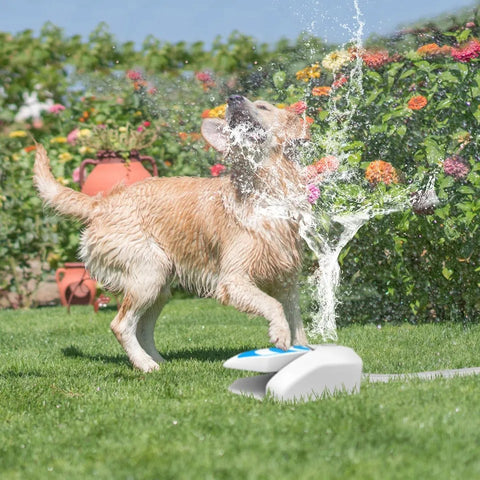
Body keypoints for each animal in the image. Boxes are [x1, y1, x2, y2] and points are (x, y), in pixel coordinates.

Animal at [34, 94, 312, 372]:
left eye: (263, 106)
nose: (233, 98)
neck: (265, 191)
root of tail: (101, 202)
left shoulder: (287, 282)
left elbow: (296, 323)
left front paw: (304, 351)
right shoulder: (233, 280)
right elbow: (273, 306)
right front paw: (280, 334)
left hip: (159, 286)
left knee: (142, 327)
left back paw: (157, 360)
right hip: (149, 272)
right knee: (121, 325)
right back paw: (145, 364)